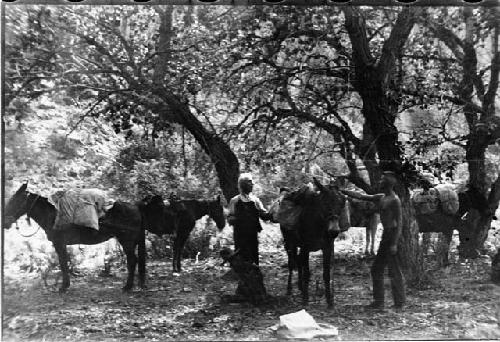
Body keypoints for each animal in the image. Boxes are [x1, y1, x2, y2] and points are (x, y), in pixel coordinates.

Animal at [2, 183, 176, 292]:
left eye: (15, 200)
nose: (5, 221)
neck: (53, 215)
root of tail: (137, 206)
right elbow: (65, 263)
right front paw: (65, 285)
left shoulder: (59, 244)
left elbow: (63, 264)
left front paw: (63, 287)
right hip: (133, 241)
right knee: (136, 261)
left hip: (126, 241)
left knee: (132, 261)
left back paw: (127, 287)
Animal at [276, 178, 346, 308]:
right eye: (325, 203)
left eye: (342, 203)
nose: (334, 231)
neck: (319, 223)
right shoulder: (306, 247)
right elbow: (307, 272)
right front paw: (305, 299)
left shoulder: (327, 247)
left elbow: (326, 274)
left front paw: (329, 301)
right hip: (290, 242)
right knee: (292, 263)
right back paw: (290, 289)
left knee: (298, 261)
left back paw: (300, 286)